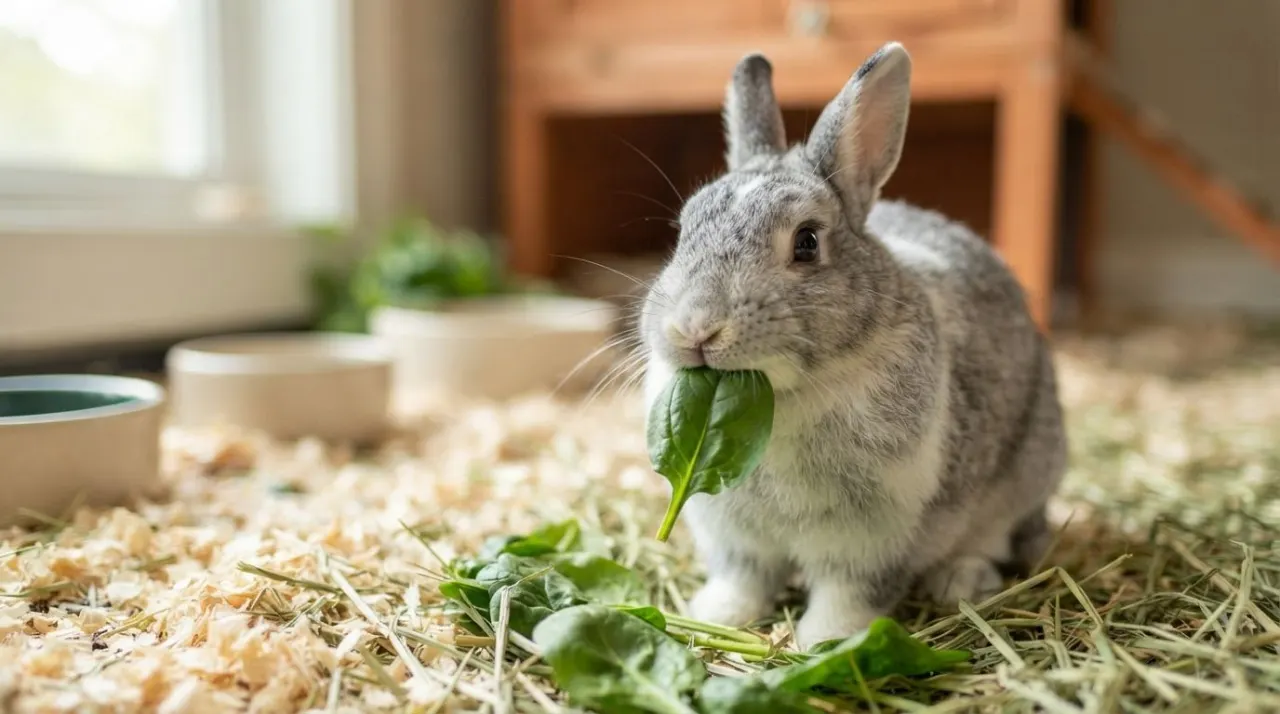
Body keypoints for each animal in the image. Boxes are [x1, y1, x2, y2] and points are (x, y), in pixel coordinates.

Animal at [640, 43, 1066, 649]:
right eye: (683, 232)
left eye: (807, 243)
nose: (696, 328)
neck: (779, 399)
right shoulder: (736, 537)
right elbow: (743, 580)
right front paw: (716, 617)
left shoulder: (872, 538)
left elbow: (849, 593)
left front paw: (826, 641)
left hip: (1027, 467)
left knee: (994, 534)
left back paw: (961, 579)